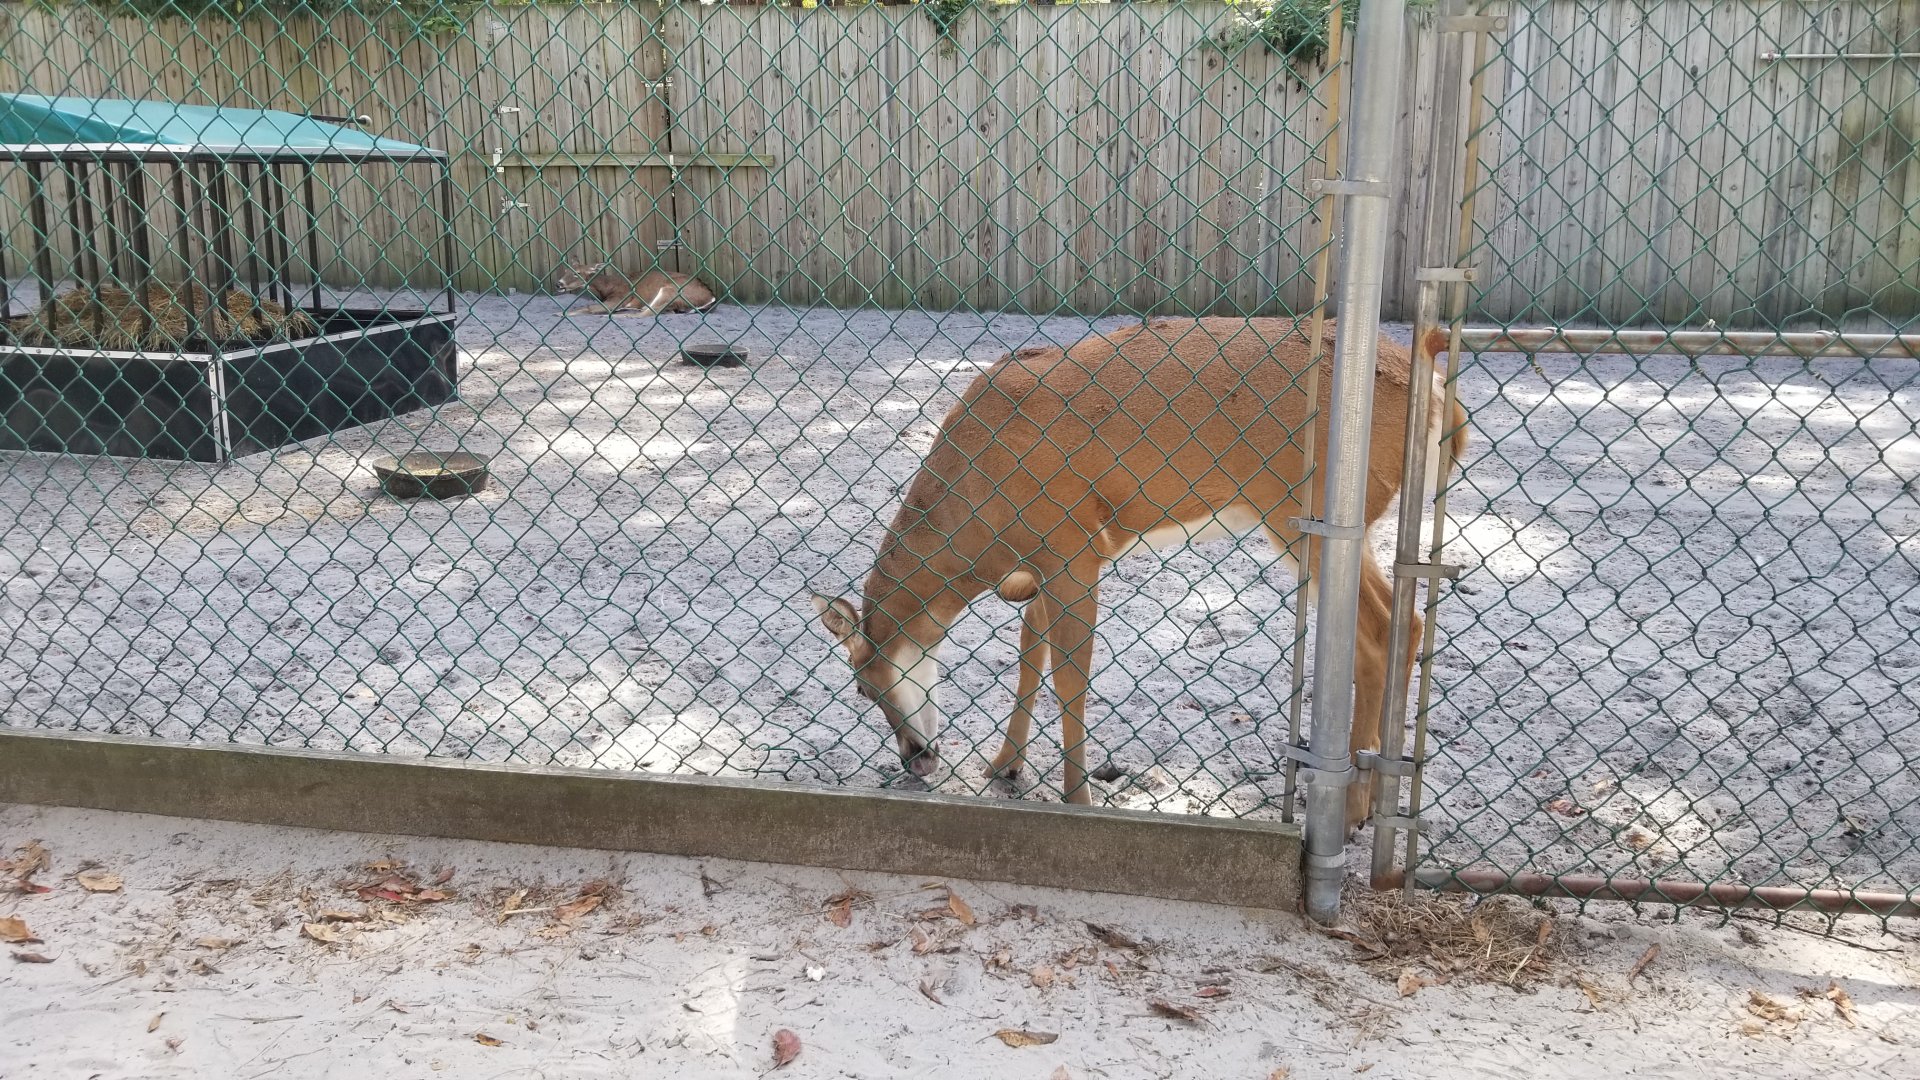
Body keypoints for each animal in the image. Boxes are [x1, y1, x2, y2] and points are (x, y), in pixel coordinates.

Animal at [552, 259, 718, 317]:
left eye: (577, 273)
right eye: (565, 270)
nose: (558, 283)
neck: (606, 288)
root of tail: (711, 296)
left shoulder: (619, 297)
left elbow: (590, 307)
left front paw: (560, 313)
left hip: (670, 289)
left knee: (649, 313)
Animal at [811, 316, 1469, 833]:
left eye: (863, 687)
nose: (915, 759)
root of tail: (1437, 390)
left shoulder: (1073, 548)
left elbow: (1070, 677)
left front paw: (1078, 798)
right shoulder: (1041, 566)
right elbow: (1030, 654)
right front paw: (1005, 764)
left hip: (1307, 518)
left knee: (1381, 630)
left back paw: (1352, 808)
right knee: (1398, 624)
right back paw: (1370, 799)